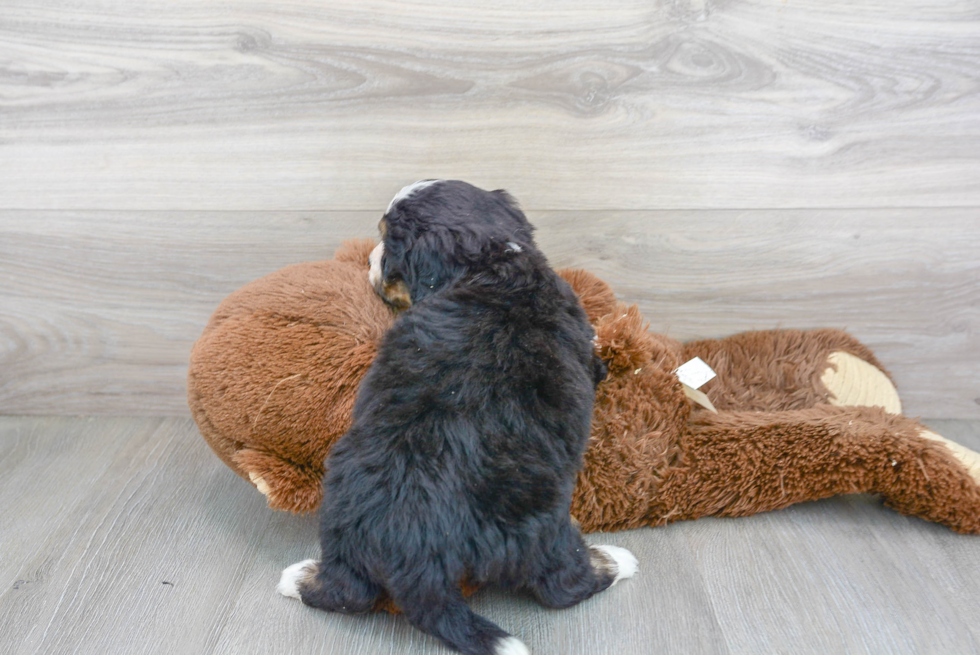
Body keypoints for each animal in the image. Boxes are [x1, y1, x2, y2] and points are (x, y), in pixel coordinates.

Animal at [280, 181, 640, 655]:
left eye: (387, 244)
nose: (370, 260)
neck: (490, 259)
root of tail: (416, 553)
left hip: (342, 513)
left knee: (346, 591)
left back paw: (297, 577)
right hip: (542, 527)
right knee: (563, 584)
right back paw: (615, 560)